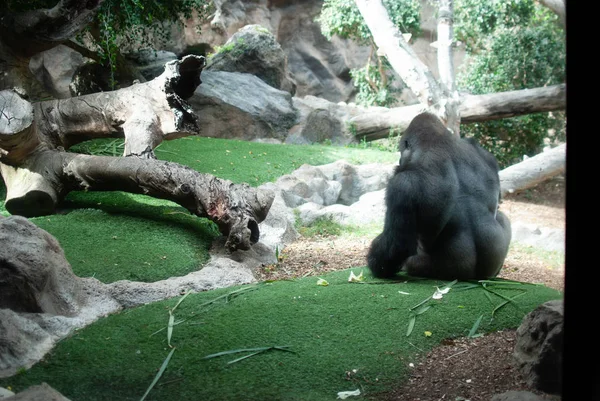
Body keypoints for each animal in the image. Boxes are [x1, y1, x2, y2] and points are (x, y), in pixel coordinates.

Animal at [366, 110, 510, 278]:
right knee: (503, 218)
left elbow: (397, 246)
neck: (438, 141)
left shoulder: (402, 184)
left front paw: (375, 264)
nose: (400, 160)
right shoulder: (486, 155)